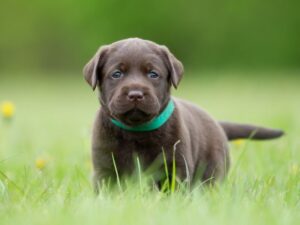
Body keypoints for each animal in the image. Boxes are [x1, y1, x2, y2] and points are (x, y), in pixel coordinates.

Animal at [82, 37, 284, 189]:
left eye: (153, 74)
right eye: (116, 74)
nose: (136, 94)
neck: (136, 132)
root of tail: (217, 123)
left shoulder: (175, 166)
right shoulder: (104, 168)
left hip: (213, 169)